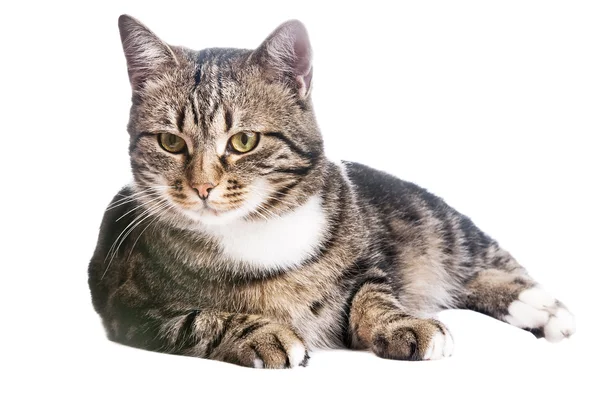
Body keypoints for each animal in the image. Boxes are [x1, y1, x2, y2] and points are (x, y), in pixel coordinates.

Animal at [86, 14, 576, 368]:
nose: (203, 186)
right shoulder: (131, 308)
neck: (257, 229)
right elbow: (199, 319)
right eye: (171, 143)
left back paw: (542, 307)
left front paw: (403, 324)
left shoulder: (367, 263)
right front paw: (263, 333)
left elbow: (373, 294)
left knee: (476, 257)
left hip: (434, 222)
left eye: (244, 141)